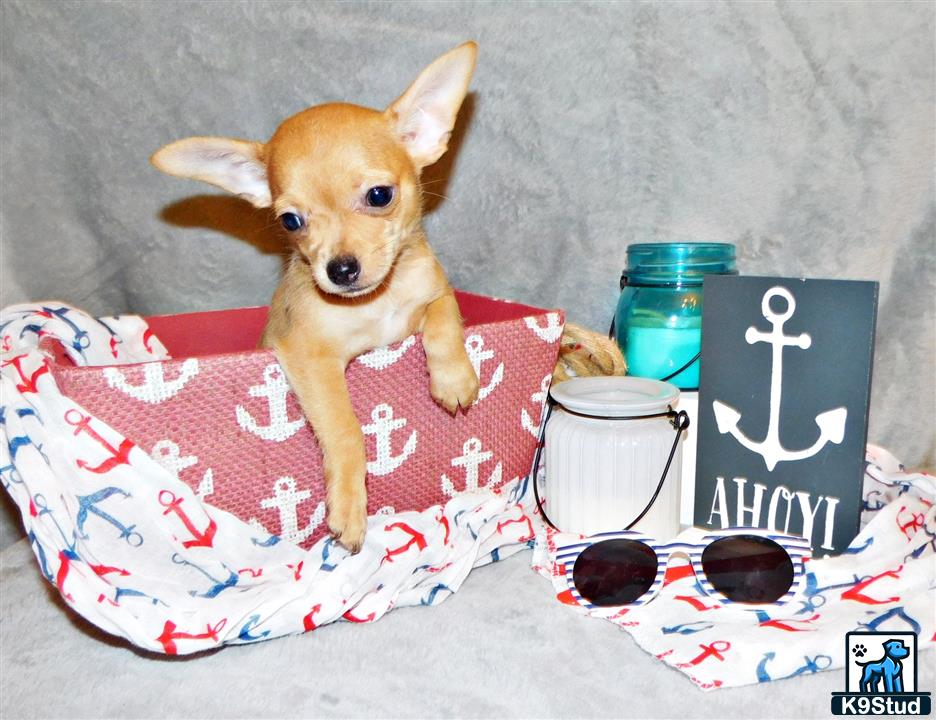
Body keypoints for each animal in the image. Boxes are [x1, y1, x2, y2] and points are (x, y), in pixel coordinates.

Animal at [152, 43, 482, 552]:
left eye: (379, 195)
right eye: (290, 221)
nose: (340, 270)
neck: (376, 301)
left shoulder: (432, 291)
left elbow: (446, 314)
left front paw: (453, 378)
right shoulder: (310, 357)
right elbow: (346, 429)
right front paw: (349, 505)